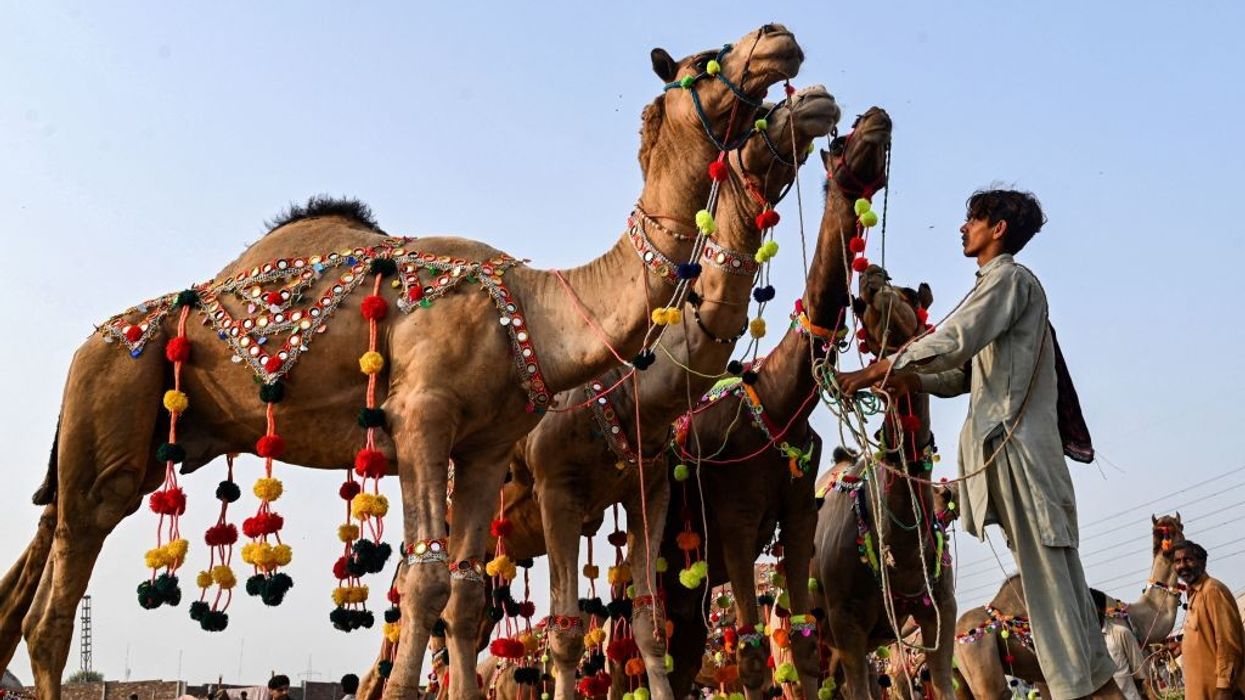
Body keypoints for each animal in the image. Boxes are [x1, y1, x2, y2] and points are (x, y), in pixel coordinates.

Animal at [0, 25, 806, 700]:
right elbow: (423, 582)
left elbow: (467, 594)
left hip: (149, 442)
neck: (535, 309)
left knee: (43, 566)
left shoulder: (484, 447)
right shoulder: (422, 415)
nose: (778, 38)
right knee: (56, 602)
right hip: (109, 396)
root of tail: (88, 343)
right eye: (703, 61)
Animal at [658, 107, 894, 700]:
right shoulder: (736, 518)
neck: (781, 401)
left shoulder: (797, 512)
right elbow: (751, 656)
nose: (877, 117)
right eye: (841, 142)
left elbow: (805, 649)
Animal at [953, 514, 1185, 700]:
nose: (1169, 545)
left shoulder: (1048, 676)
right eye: (1163, 531)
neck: (1136, 615)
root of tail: (956, 637)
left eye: (1177, 527)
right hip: (978, 653)